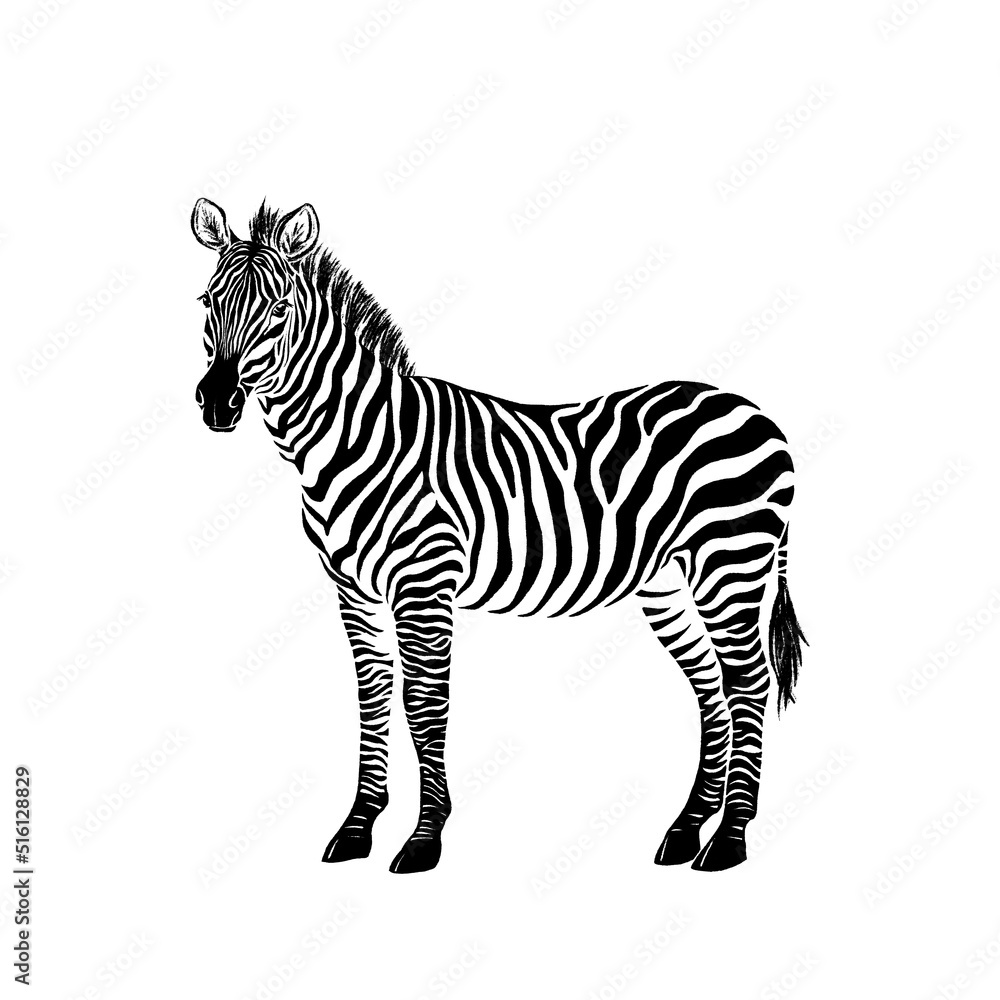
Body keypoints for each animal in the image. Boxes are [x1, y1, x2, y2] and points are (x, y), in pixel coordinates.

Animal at [190, 197, 806, 874]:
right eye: (207, 301)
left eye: (278, 310)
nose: (216, 403)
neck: (356, 442)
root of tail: (754, 410)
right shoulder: (354, 592)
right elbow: (372, 702)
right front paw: (356, 830)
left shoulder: (424, 584)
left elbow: (423, 707)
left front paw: (423, 838)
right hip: (667, 583)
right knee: (711, 690)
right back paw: (687, 831)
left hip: (732, 563)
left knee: (748, 685)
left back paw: (730, 840)